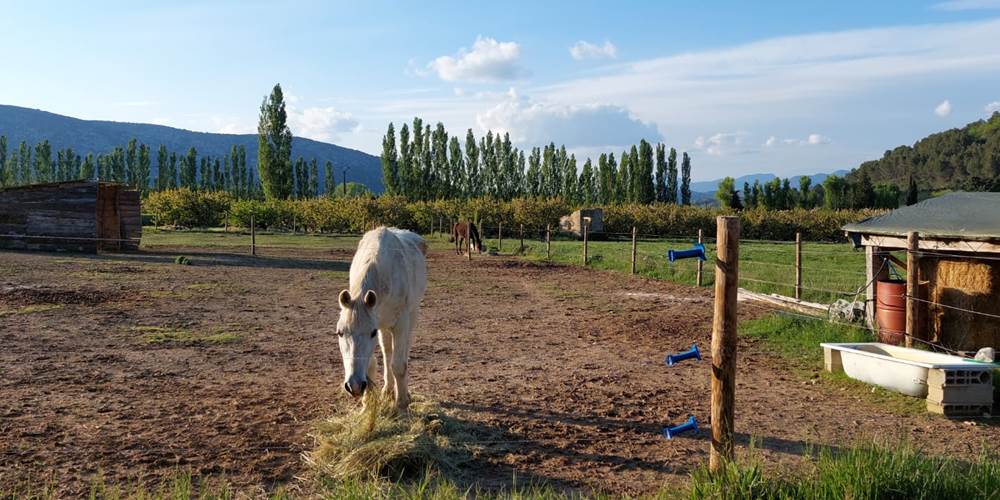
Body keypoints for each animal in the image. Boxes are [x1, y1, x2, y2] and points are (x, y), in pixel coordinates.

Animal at [336, 226, 427, 411]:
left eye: (371, 333)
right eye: (340, 333)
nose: (354, 386)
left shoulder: (400, 324)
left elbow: (398, 365)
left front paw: (402, 403)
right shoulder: (378, 322)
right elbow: (372, 364)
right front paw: (367, 403)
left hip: (412, 315)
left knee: (404, 349)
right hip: (384, 325)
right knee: (387, 352)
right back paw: (388, 389)